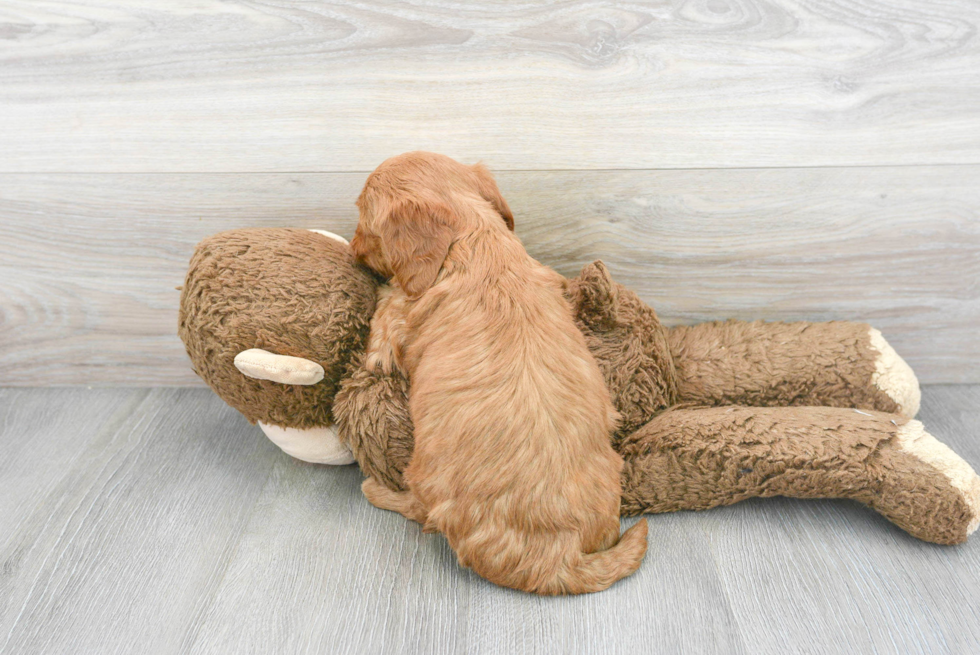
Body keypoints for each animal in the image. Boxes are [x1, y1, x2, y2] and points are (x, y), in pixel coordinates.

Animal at [348, 152, 648, 596]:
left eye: (364, 220)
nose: (352, 251)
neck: (475, 236)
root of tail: (562, 555)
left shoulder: (400, 311)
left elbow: (385, 310)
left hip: (426, 475)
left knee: (421, 511)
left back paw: (378, 490)